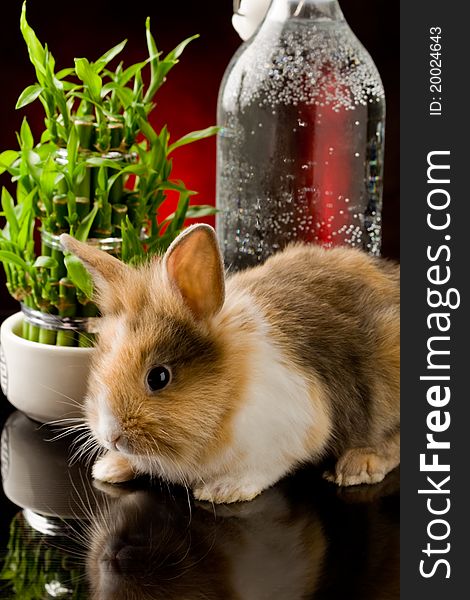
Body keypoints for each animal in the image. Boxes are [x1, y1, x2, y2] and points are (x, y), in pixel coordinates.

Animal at [59, 223, 400, 504]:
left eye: (158, 377)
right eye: (100, 362)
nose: (111, 437)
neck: (231, 395)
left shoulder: (292, 432)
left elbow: (265, 468)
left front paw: (222, 490)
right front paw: (109, 468)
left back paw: (358, 465)